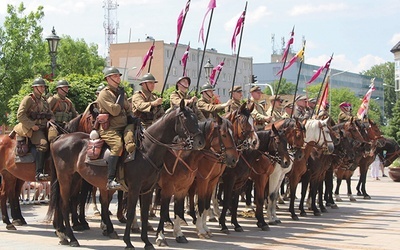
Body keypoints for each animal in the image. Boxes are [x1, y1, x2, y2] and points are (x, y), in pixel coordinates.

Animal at [46, 100, 206, 249]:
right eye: (185, 118)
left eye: (196, 117)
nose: (200, 142)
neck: (147, 149)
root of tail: (60, 138)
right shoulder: (135, 188)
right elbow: (130, 213)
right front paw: (128, 242)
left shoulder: (148, 189)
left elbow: (144, 214)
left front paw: (147, 242)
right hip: (66, 179)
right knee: (65, 204)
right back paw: (72, 238)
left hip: (75, 179)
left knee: (63, 202)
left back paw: (63, 235)